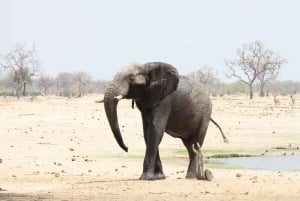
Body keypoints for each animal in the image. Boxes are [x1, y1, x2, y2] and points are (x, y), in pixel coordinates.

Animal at [99, 61, 227, 181]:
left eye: (131, 78)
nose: (127, 148)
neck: (147, 66)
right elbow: (147, 134)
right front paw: (159, 177)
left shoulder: (164, 101)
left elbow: (155, 132)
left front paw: (147, 178)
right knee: (190, 146)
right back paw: (191, 176)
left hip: (205, 114)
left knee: (196, 143)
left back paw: (192, 177)